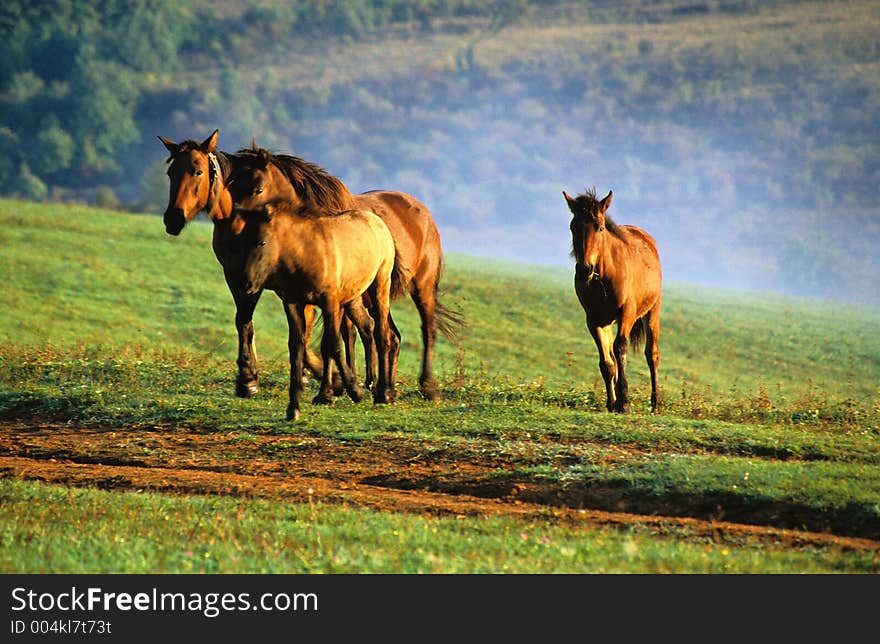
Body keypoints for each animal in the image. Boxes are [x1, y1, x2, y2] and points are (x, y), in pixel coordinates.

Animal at [227, 143, 464, 400]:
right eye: (232, 186)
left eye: (257, 188)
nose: (235, 228)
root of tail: (423, 212)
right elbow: (318, 339)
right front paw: (337, 385)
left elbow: (331, 340)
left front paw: (335, 388)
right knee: (391, 336)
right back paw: (384, 386)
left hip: (421, 287)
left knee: (426, 329)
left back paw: (426, 387)